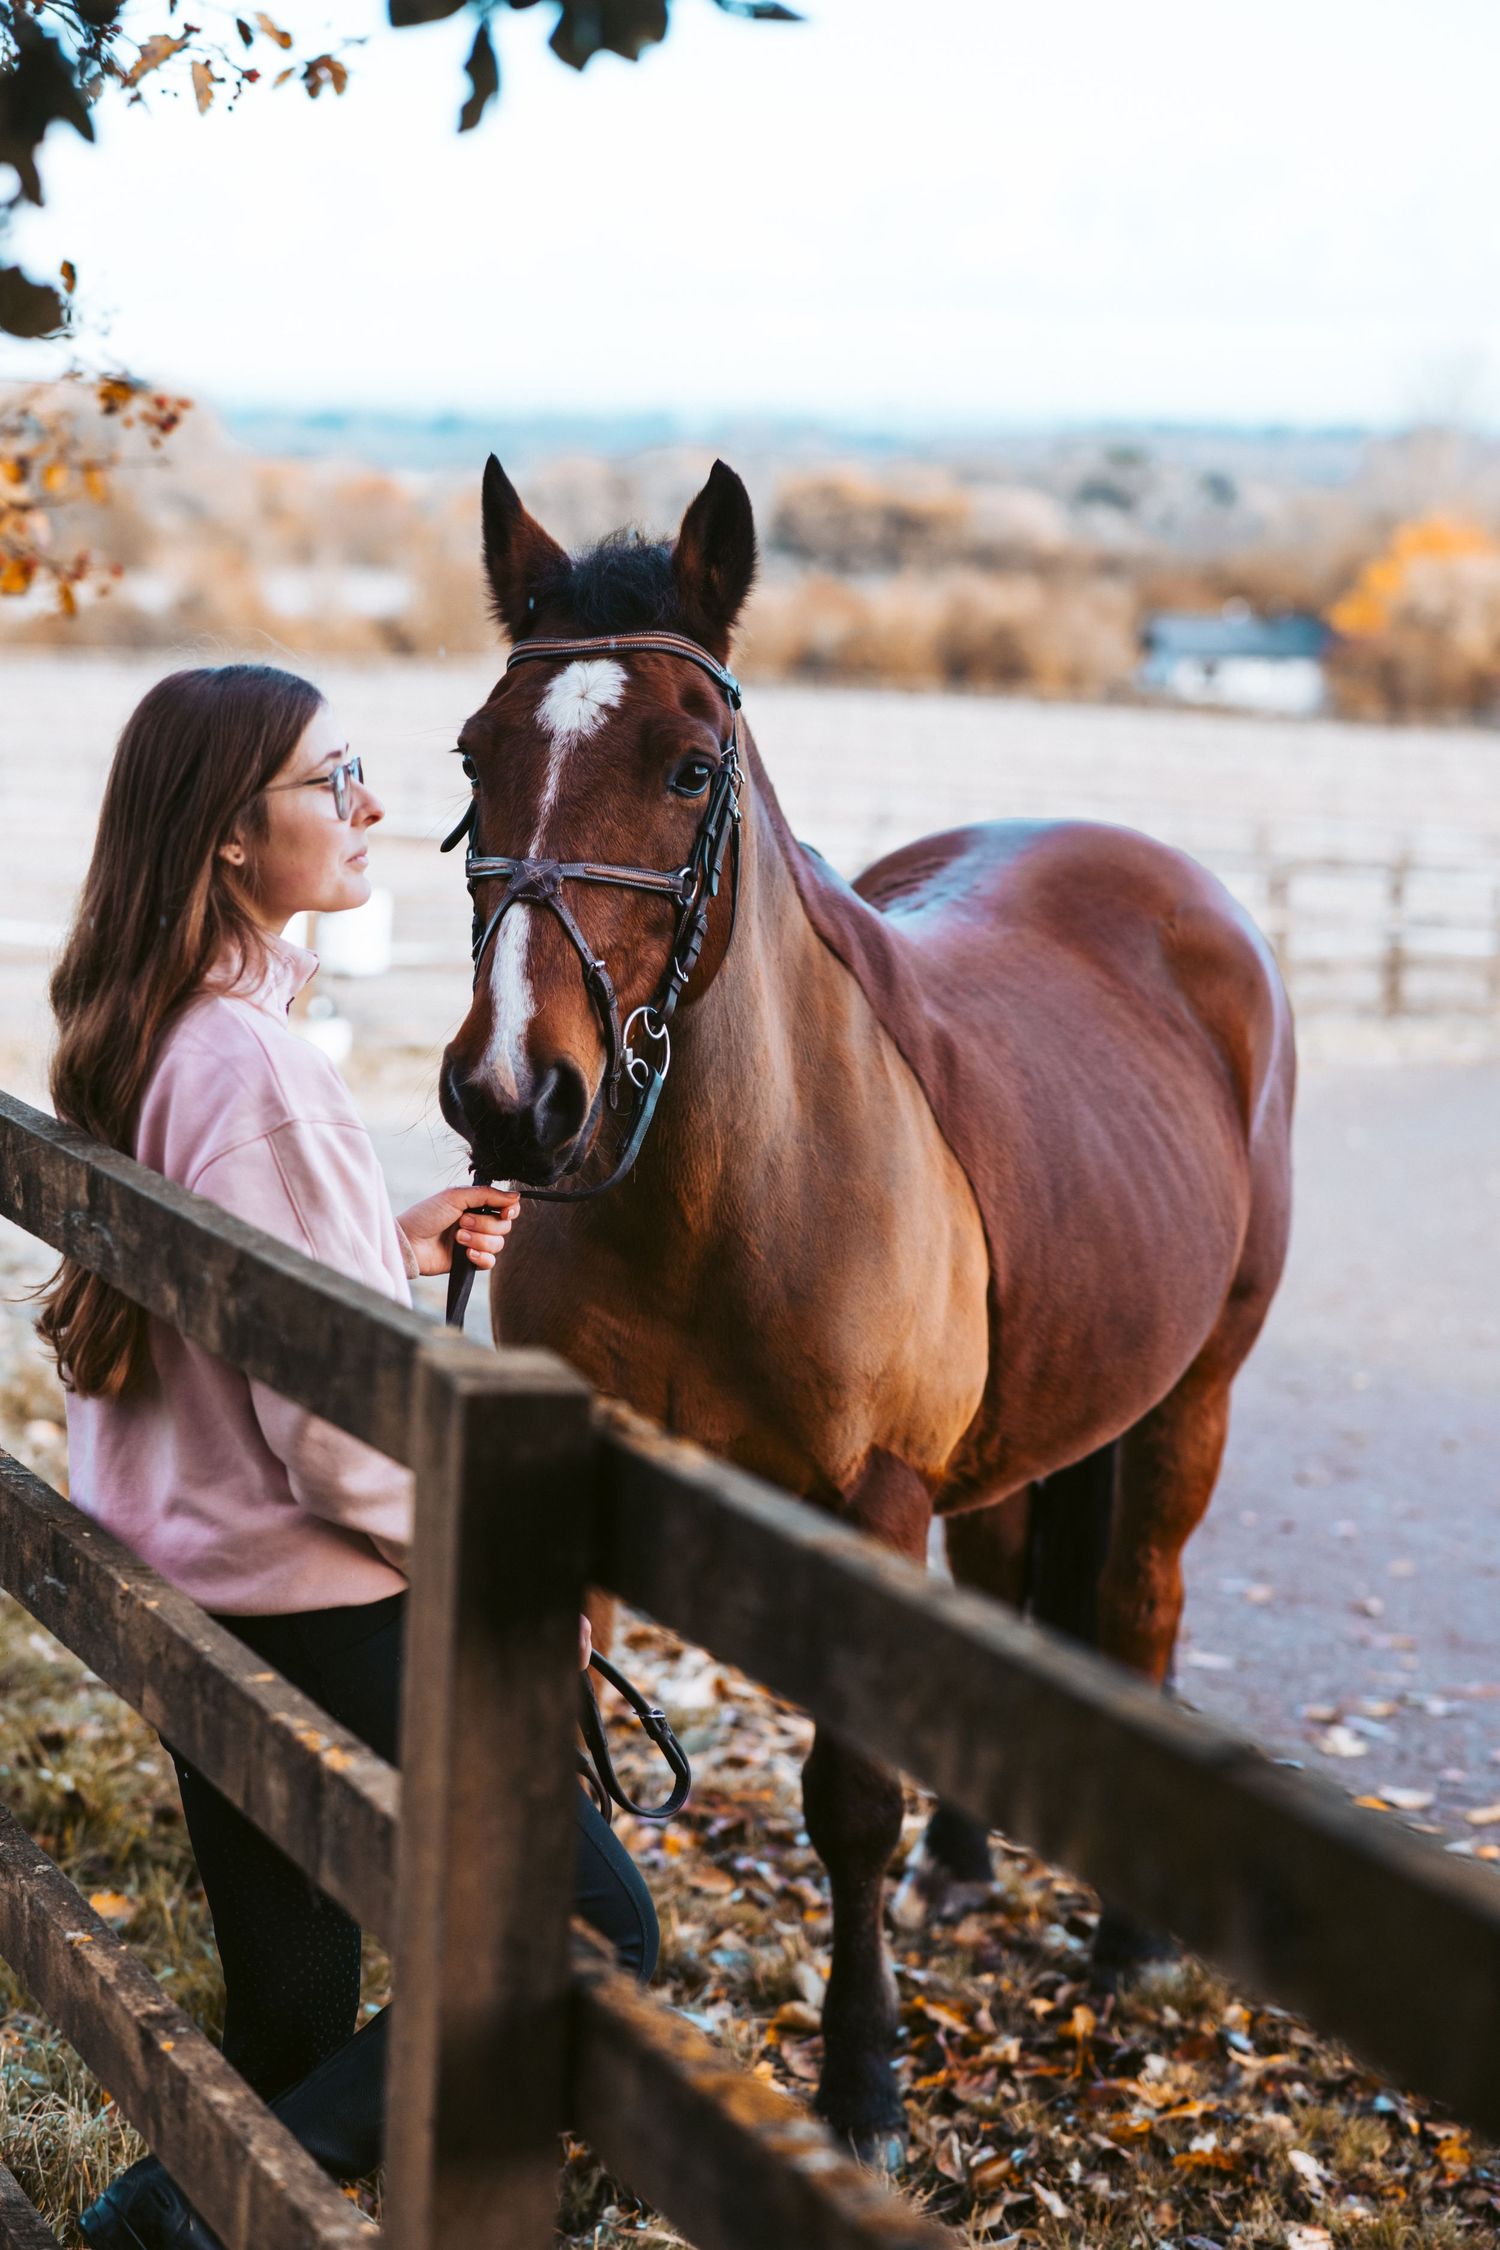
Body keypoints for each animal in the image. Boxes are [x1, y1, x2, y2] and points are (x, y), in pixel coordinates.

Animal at [437, 455, 1296, 2163]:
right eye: (474, 756)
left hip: (1197, 1393)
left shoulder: (874, 1498)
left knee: (1137, 1602)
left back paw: (1130, 1936)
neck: (718, 1193)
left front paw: (863, 2083)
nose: (509, 1096)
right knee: (1009, 1586)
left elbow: (849, 1798)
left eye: (692, 767)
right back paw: (965, 1865)